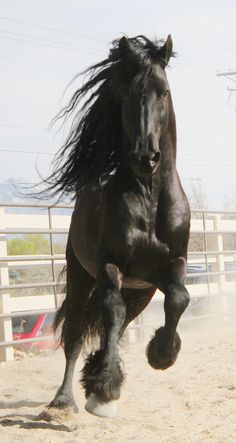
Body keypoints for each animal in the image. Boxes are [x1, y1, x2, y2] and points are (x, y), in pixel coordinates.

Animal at [46, 35, 190, 420]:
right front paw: (104, 389)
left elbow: (179, 299)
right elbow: (109, 312)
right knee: (79, 331)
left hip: (141, 291)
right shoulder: (110, 264)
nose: (146, 157)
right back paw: (64, 401)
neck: (150, 201)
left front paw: (161, 354)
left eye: (163, 92)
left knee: (122, 321)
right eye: (126, 93)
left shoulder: (173, 265)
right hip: (82, 276)